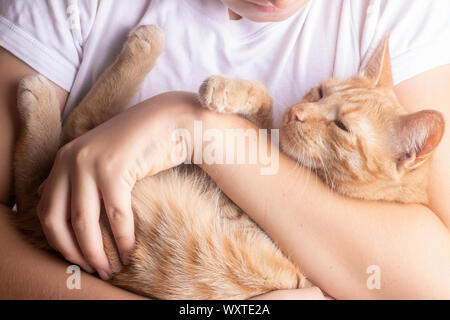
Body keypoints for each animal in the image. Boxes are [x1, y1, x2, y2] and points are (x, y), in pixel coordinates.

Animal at [13, 25, 442, 300]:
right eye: (320, 92)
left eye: (341, 126)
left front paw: (228, 91)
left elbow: (262, 112)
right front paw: (238, 92)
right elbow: (264, 103)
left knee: (58, 150)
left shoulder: (245, 220)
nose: (297, 113)